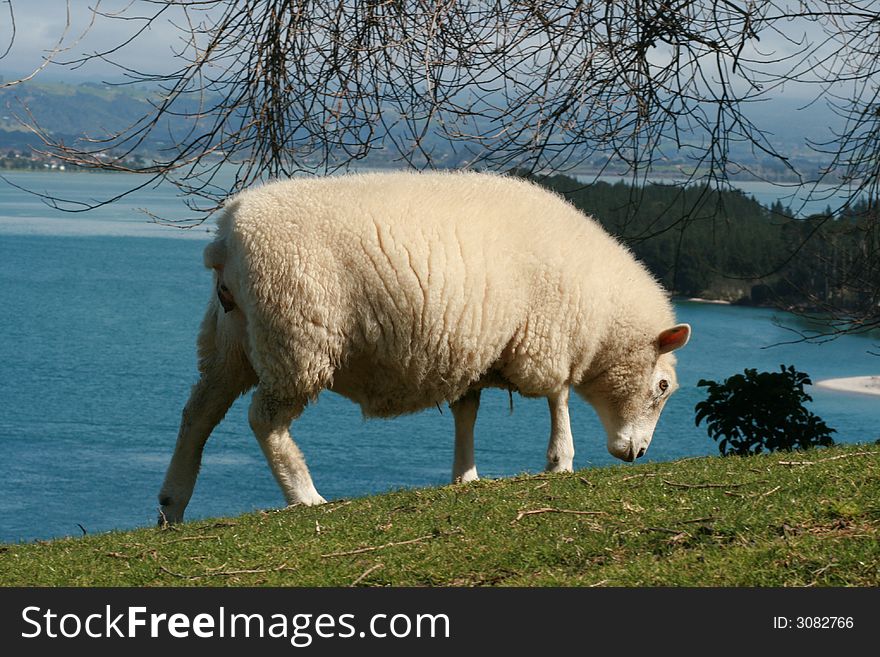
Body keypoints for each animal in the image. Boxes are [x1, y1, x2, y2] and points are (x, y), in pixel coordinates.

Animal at [162, 172, 692, 520]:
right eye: (662, 387)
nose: (636, 453)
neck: (602, 316)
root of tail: (227, 235)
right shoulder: (546, 338)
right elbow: (558, 397)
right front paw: (560, 460)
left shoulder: (475, 349)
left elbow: (466, 412)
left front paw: (466, 475)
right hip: (298, 335)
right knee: (264, 420)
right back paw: (304, 495)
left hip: (232, 341)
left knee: (199, 412)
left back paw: (173, 503)